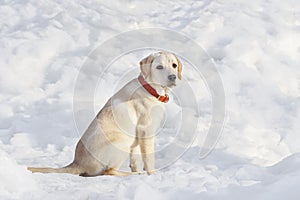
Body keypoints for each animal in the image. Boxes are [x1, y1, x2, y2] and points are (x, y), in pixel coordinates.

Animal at [28, 52, 183, 177]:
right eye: (159, 67)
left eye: (174, 65)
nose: (172, 77)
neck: (150, 88)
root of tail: (77, 164)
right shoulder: (146, 130)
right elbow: (149, 159)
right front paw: (152, 174)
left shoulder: (137, 138)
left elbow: (135, 160)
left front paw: (138, 170)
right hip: (122, 142)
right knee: (109, 171)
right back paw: (132, 175)